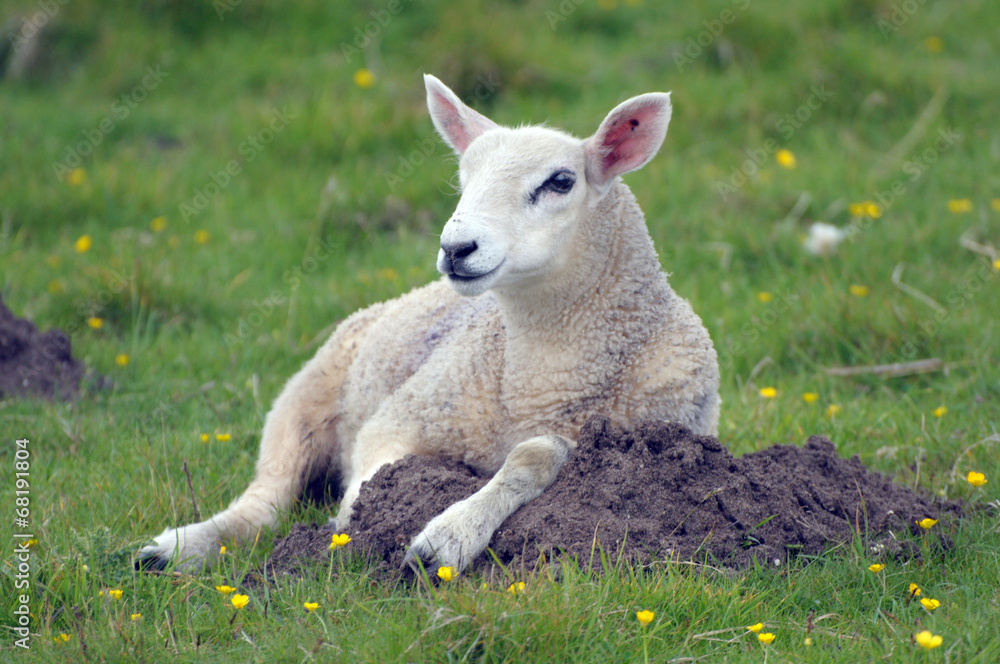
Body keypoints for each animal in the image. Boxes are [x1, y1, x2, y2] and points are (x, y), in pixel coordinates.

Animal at [137, 74, 720, 575]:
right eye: (463, 179)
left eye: (560, 182)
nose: (456, 248)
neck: (539, 384)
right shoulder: (398, 424)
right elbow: (362, 499)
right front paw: (422, 532)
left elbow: (535, 455)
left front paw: (446, 537)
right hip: (304, 398)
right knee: (266, 500)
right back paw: (178, 548)